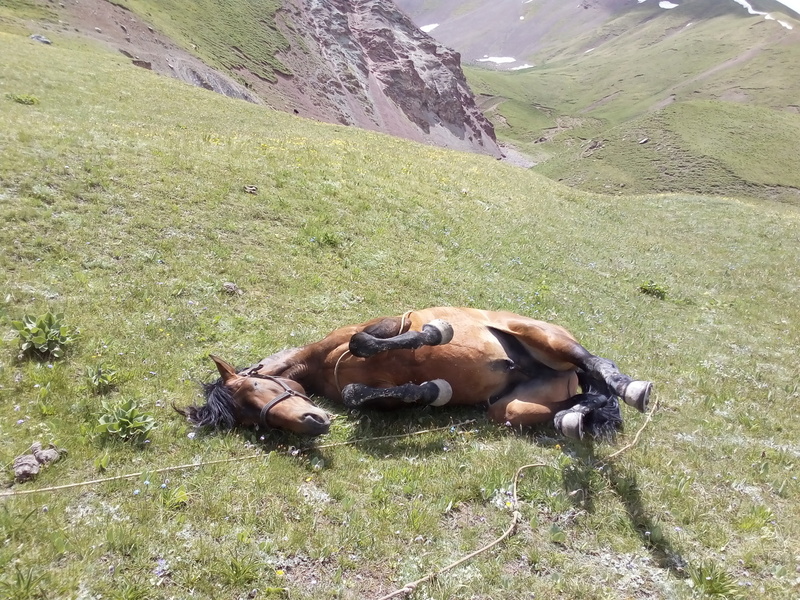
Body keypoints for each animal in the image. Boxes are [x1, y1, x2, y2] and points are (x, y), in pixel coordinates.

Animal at [178, 308, 652, 438]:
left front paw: (438, 333)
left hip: (543, 336)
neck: (319, 364)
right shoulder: (376, 394)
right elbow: (361, 395)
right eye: (255, 421)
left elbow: (371, 341)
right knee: (579, 398)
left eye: (258, 385)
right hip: (512, 407)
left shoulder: (385, 325)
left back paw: (634, 389)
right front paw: (435, 390)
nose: (311, 425)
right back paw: (573, 418)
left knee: (598, 365)